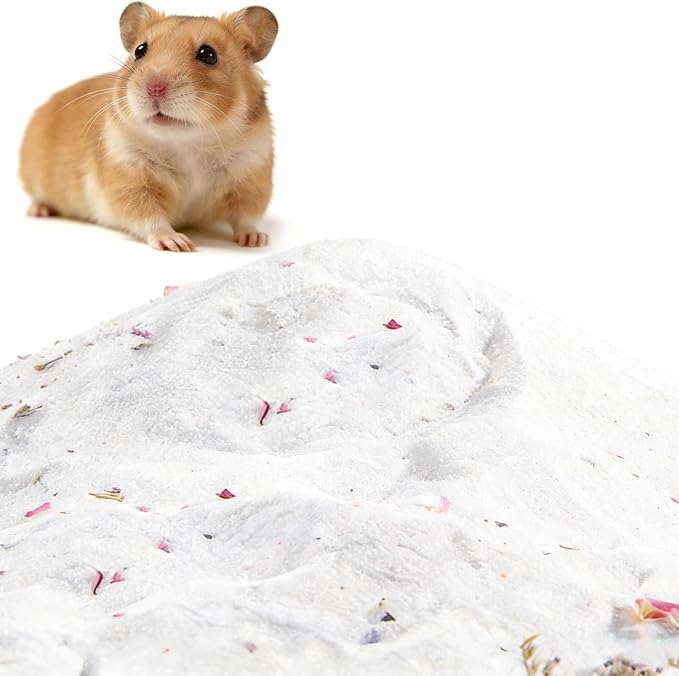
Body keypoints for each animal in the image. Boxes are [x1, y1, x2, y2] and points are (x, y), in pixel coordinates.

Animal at [19, 3, 278, 251]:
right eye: (140, 50)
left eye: (208, 54)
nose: (154, 88)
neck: (188, 142)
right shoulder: (129, 177)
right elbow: (149, 216)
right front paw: (177, 243)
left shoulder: (251, 174)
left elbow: (247, 216)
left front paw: (256, 240)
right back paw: (39, 211)